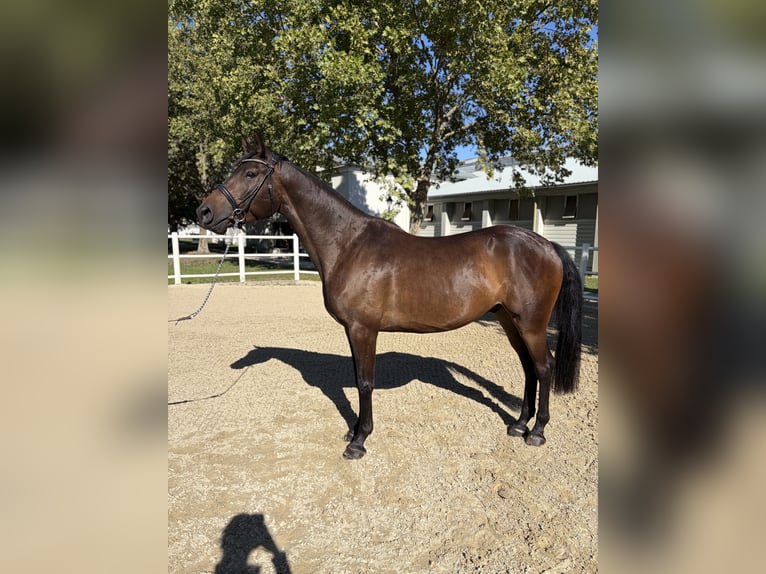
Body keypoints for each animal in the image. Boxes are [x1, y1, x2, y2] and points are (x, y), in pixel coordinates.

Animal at [196, 132, 583, 459]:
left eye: (249, 173)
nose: (204, 212)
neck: (349, 244)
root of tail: (546, 245)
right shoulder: (353, 330)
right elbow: (358, 379)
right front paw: (353, 430)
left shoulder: (363, 328)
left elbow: (365, 382)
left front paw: (359, 441)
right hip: (508, 319)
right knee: (529, 368)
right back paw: (518, 425)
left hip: (531, 324)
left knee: (544, 367)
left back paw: (537, 432)